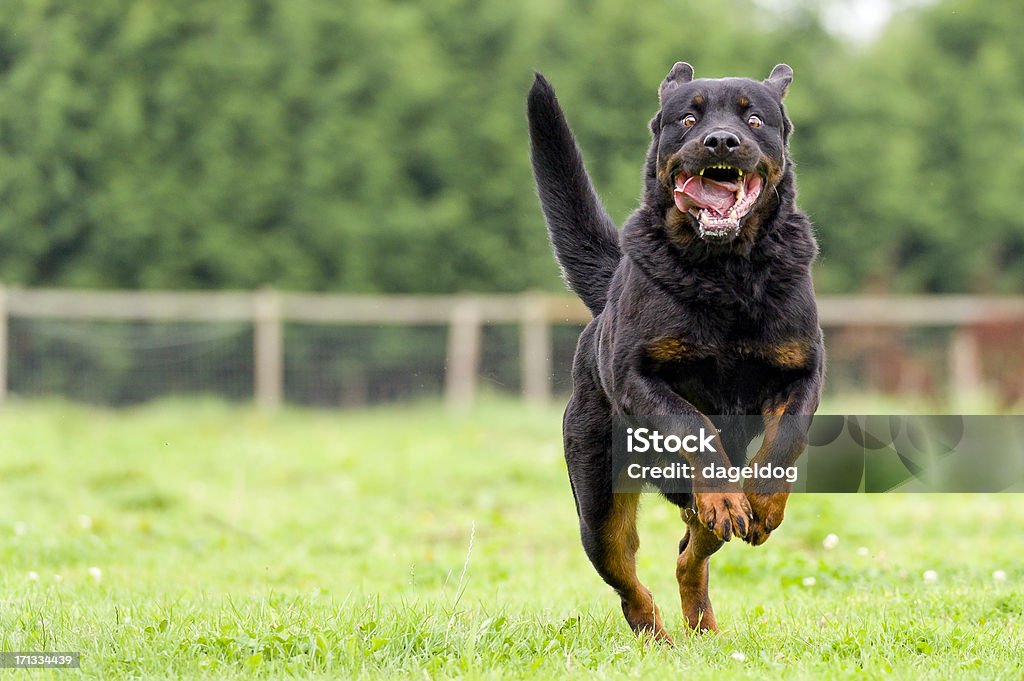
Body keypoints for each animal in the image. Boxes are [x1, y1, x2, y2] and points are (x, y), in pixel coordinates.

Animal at [528, 61, 823, 639]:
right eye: (688, 118)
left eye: (754, 119)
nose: (721, 140)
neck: (727, 269)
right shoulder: (639, 377)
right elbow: (695, 425)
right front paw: (729, 494)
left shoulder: (801, 372)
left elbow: (785, 441)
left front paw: (762, 503)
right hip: (598, 503)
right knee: (629, 578)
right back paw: (657, 636)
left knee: (692, 550)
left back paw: (702, 620)